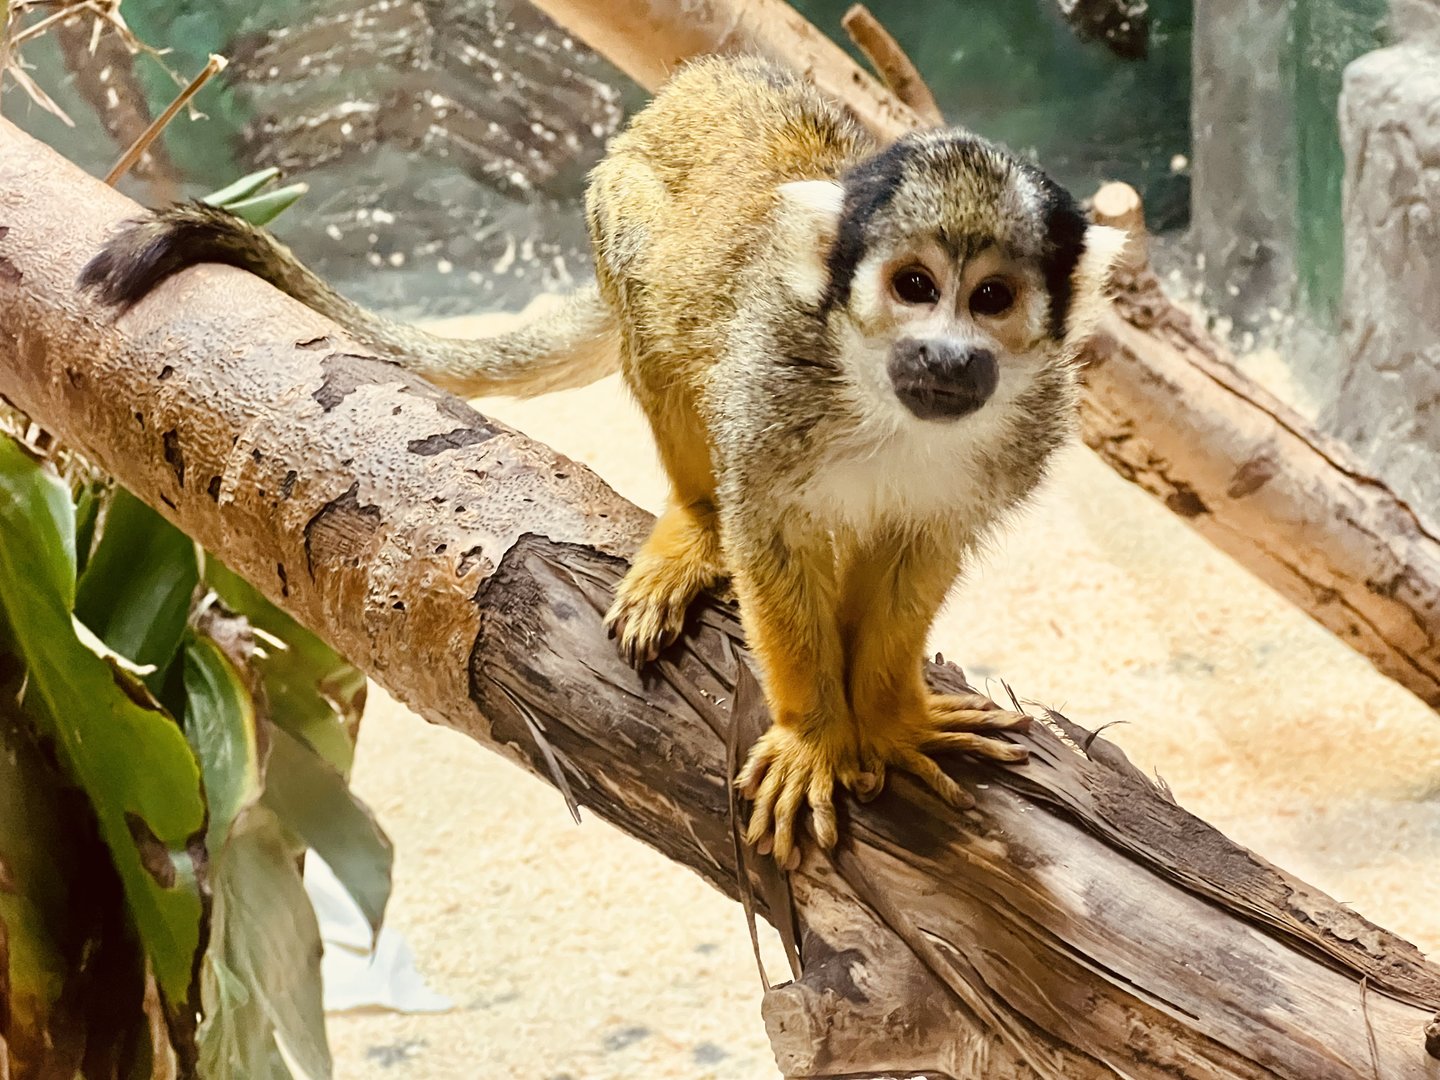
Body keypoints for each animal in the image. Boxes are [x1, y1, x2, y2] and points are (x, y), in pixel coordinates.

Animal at [80, 54, 1125, 870]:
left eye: (990, 298)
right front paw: (814, 733)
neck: (882, 400)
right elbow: (770, 536)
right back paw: (696, 526)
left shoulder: (1027, 427)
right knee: (660, 311)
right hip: (615, 207)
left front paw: (889, 713)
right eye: (914, 287)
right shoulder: (773, 383)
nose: (945, 357)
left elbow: (922, 547)